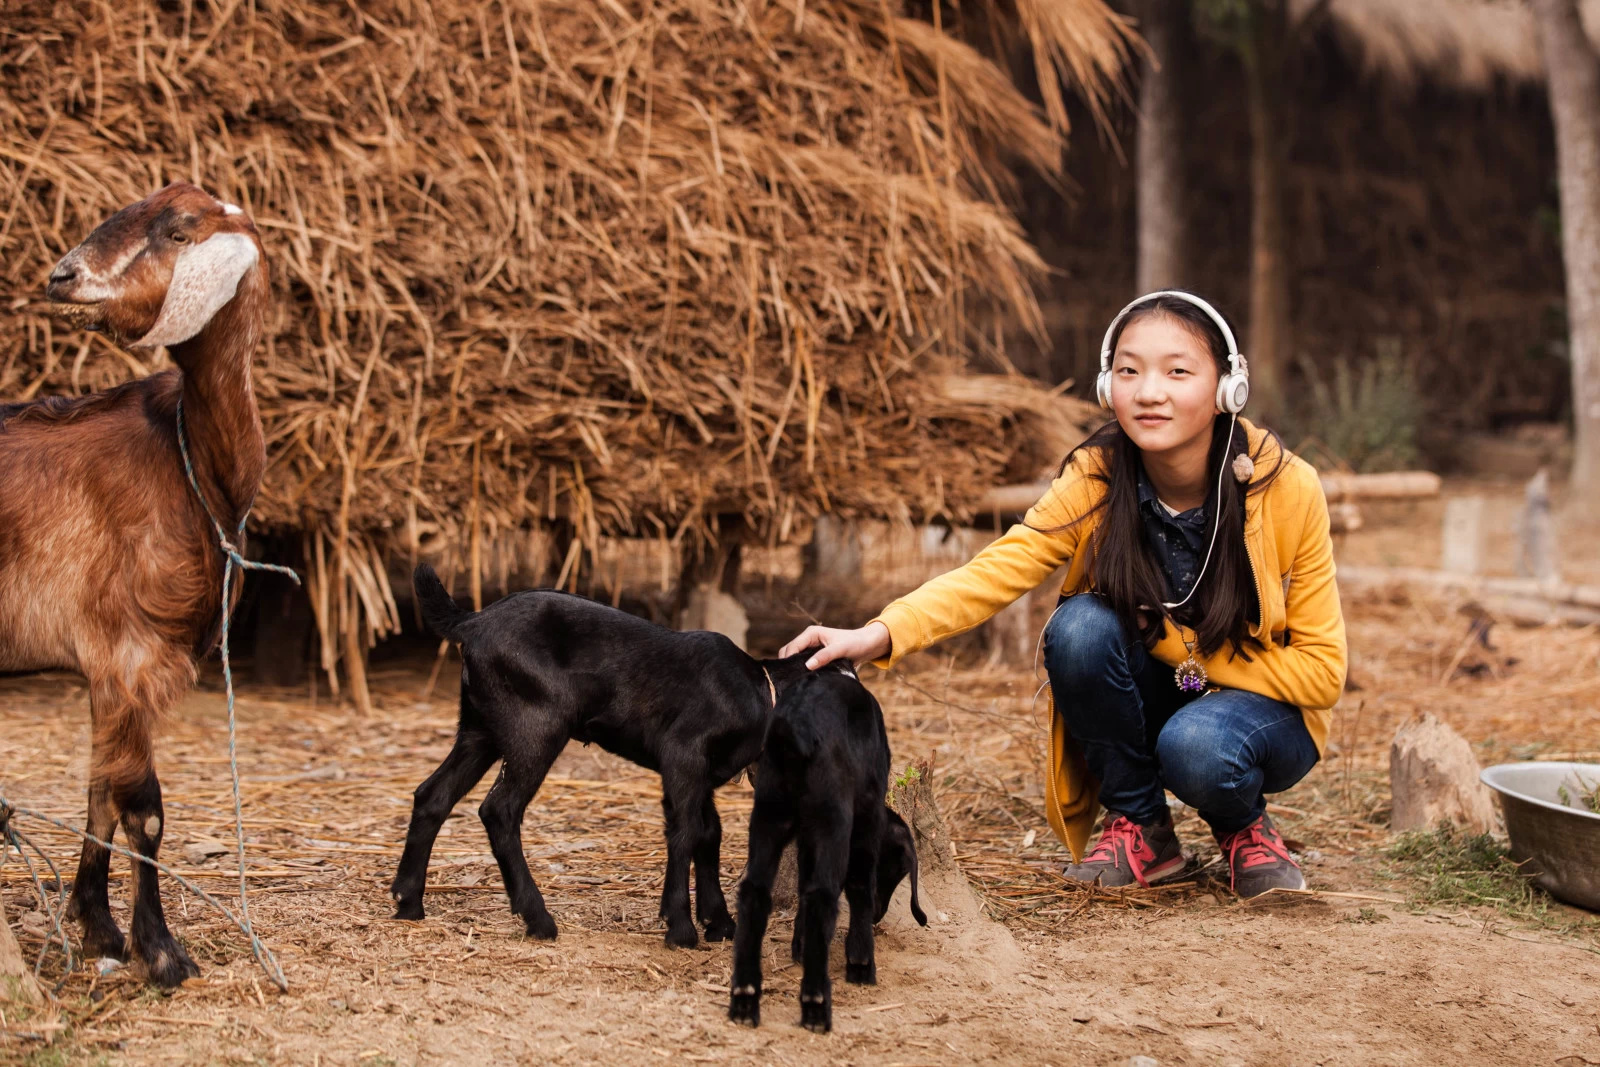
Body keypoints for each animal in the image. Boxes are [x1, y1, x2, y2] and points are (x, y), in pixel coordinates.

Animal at [1, 181, 270, 985]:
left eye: (178, 230)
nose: (60, 277)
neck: (191, 464)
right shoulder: (129, 651)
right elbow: (143, 808)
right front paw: (162, 951)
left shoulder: (109, 671)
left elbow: (99, 794)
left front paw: (99, 927)